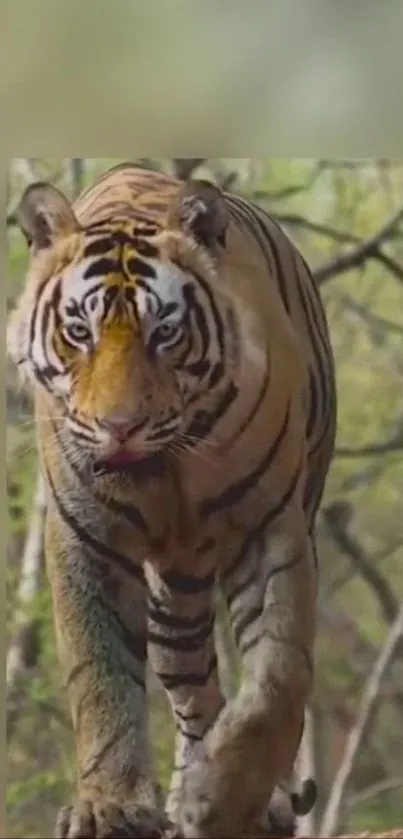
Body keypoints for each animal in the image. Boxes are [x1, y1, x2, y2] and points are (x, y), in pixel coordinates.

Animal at [7, 161, 338, 836]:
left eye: (165, 333)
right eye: (78, 332)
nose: (119, 427)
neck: (171, 476)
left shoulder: (273, 529)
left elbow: (278, 675)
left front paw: (228, 799)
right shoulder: (84, 539)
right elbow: (100, 671)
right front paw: (111, 806)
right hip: (174, 601)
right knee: (191, 688)